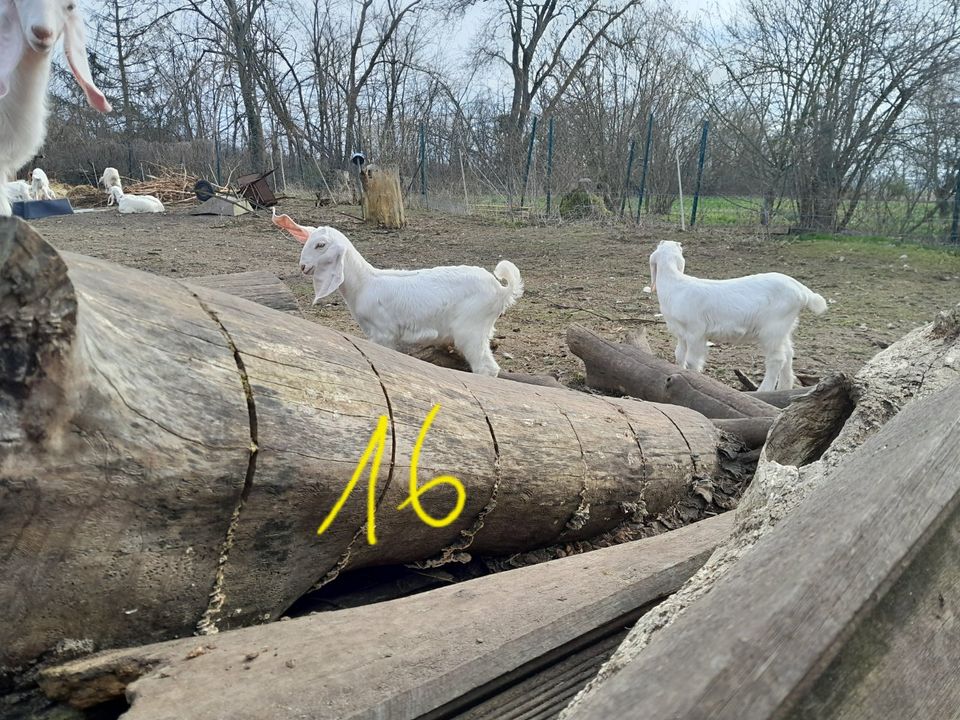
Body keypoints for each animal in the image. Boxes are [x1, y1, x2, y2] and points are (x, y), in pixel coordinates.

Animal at [270, 210, 524, 374]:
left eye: (320, 245)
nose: (303, 266)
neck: (364, 283)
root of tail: (501, 289)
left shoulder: (384, 334)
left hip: (470, 328)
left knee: (486, 368)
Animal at [648, 240, 828, 388]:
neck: (675, 285)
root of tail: (802, 291)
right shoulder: (680, 332)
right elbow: (679, 355)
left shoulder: (696, 332)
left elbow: (692, 361)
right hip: (784, 328)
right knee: (789, 354)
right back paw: (783, 389)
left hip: (772, 328)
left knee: (776, 359)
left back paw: (763, 391)